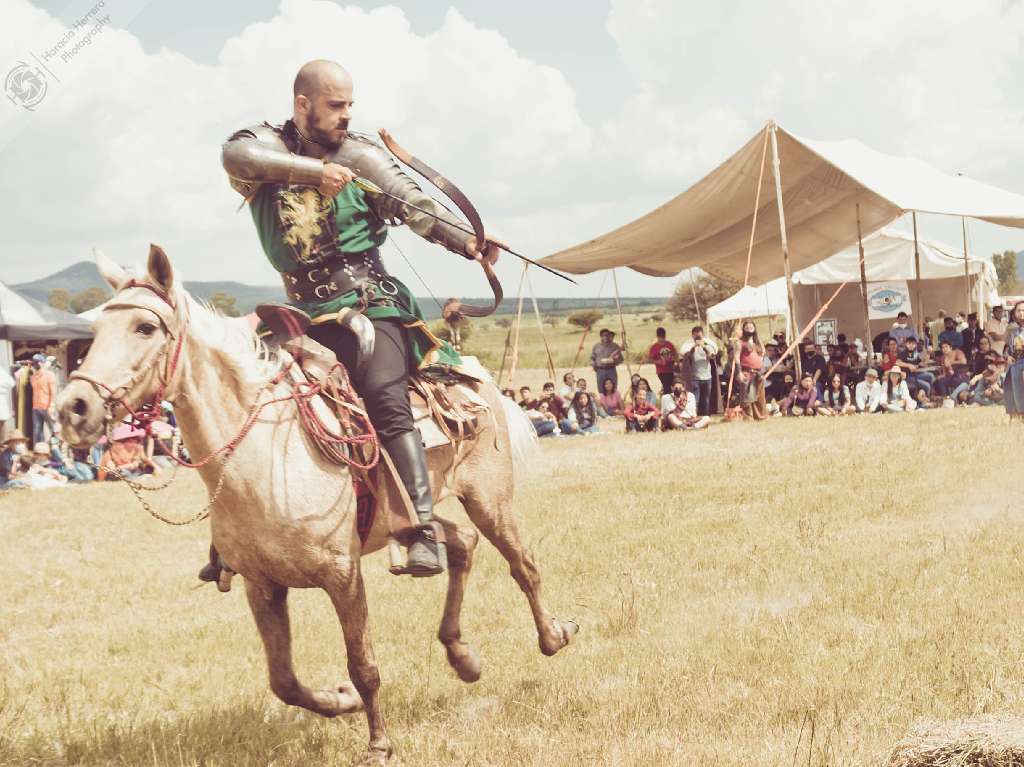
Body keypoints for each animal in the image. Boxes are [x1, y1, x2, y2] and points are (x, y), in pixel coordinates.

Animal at [58, 246, 577, 765]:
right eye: (94, 331)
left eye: (145, 328)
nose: (73, 408)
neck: (266, 459)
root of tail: (475, 376)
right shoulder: (262, 585)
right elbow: (284, 680)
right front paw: (341, 700)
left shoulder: (343, 575)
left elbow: (363, 663)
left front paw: (379, 744)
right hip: (410, 520)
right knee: (461, 543)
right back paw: (462, 656)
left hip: (489, 500)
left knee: (522, 564)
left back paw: (552, 636)